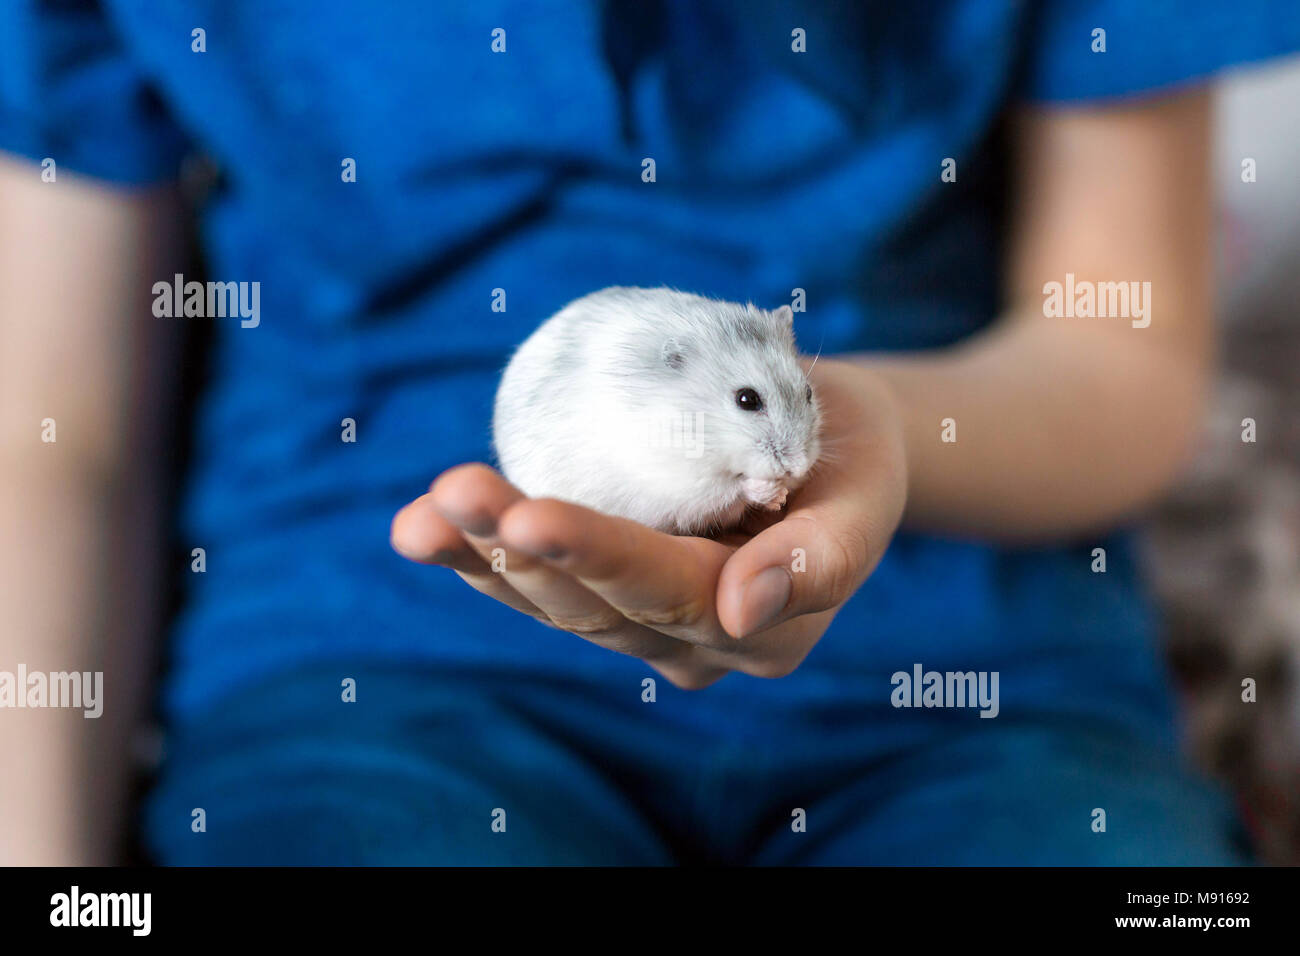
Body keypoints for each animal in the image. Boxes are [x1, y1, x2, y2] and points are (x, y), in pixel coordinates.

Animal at [491, 287, 816, 535]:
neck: (693, 424)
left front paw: (780, 496)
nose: (799, 467)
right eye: (747, 399)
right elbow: (730, 491)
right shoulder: (678, 485)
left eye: (809, 393)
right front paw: (771, 492)